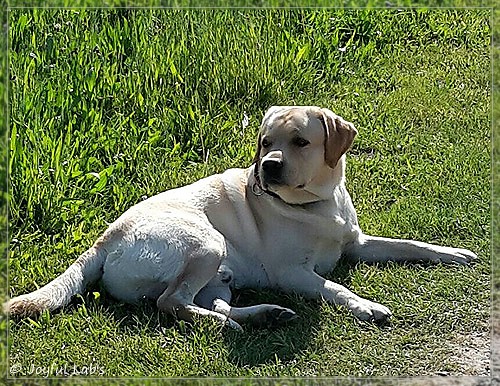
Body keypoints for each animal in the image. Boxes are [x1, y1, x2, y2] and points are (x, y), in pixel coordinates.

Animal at [7, 107, 476, 330]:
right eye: (266, 141)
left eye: (300, 141)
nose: (268, 166)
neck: (317, 205)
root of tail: (106, 238)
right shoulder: (293, 272)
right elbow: (336, 287)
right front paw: (366, 306)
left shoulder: (356, 243)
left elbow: (409, 244)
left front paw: (452, 253)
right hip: (206, 243)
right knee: (171, 303)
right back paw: (228, 326)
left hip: (218, 274)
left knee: (207, 301)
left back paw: (264, 315)